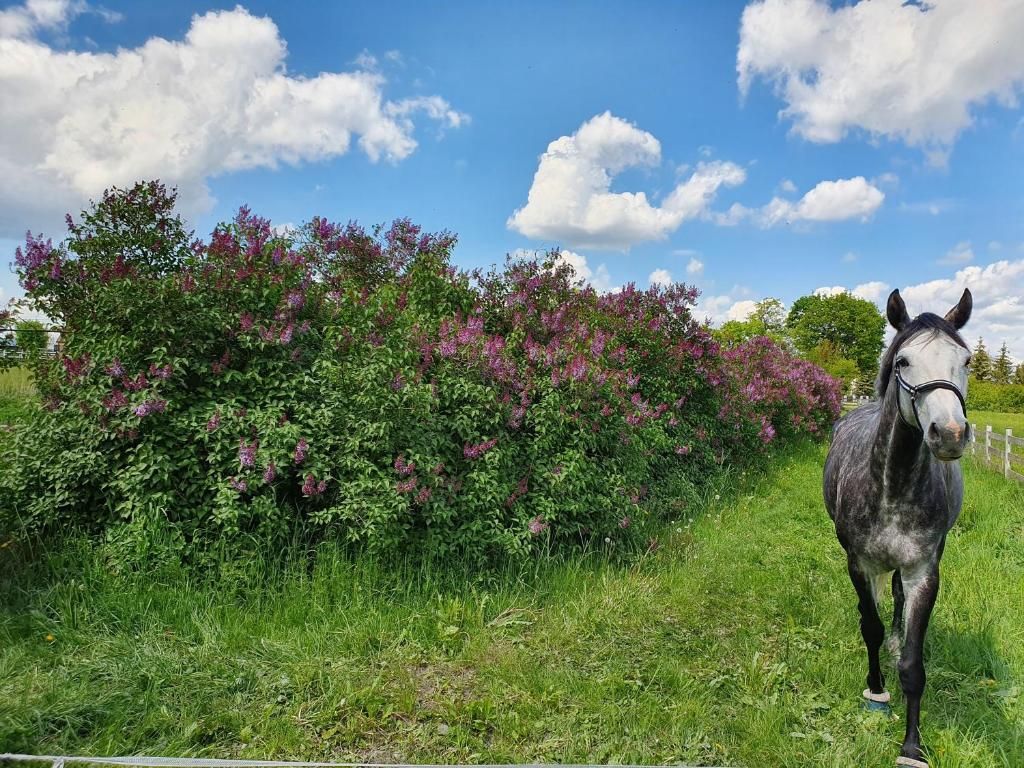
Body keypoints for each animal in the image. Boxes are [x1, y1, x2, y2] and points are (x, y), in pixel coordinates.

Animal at [823, 287, 973, 767]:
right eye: (904, 361)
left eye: (965, 361)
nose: (950, 433)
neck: (893, 482)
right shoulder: (858, 563)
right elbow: (867, 628)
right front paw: (876, 691)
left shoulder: (923, 572)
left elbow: (912, 662)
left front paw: (911, 746)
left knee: (896, 599)